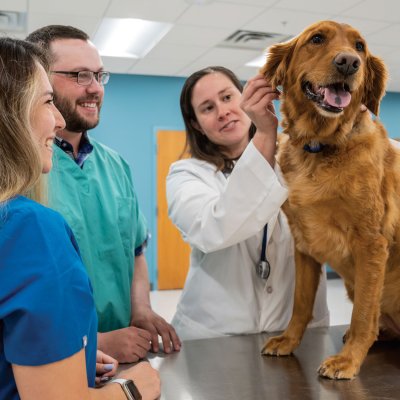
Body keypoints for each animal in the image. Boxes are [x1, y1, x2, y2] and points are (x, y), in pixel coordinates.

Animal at [260, 20, 400, 380]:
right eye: (317, 39)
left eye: (360, 46)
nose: (349, 62)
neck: (320, 147)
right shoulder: (303, 243)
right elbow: (300, 304)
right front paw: (288, 341)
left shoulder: (371, 243)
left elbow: (364, 313)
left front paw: (348, 360)